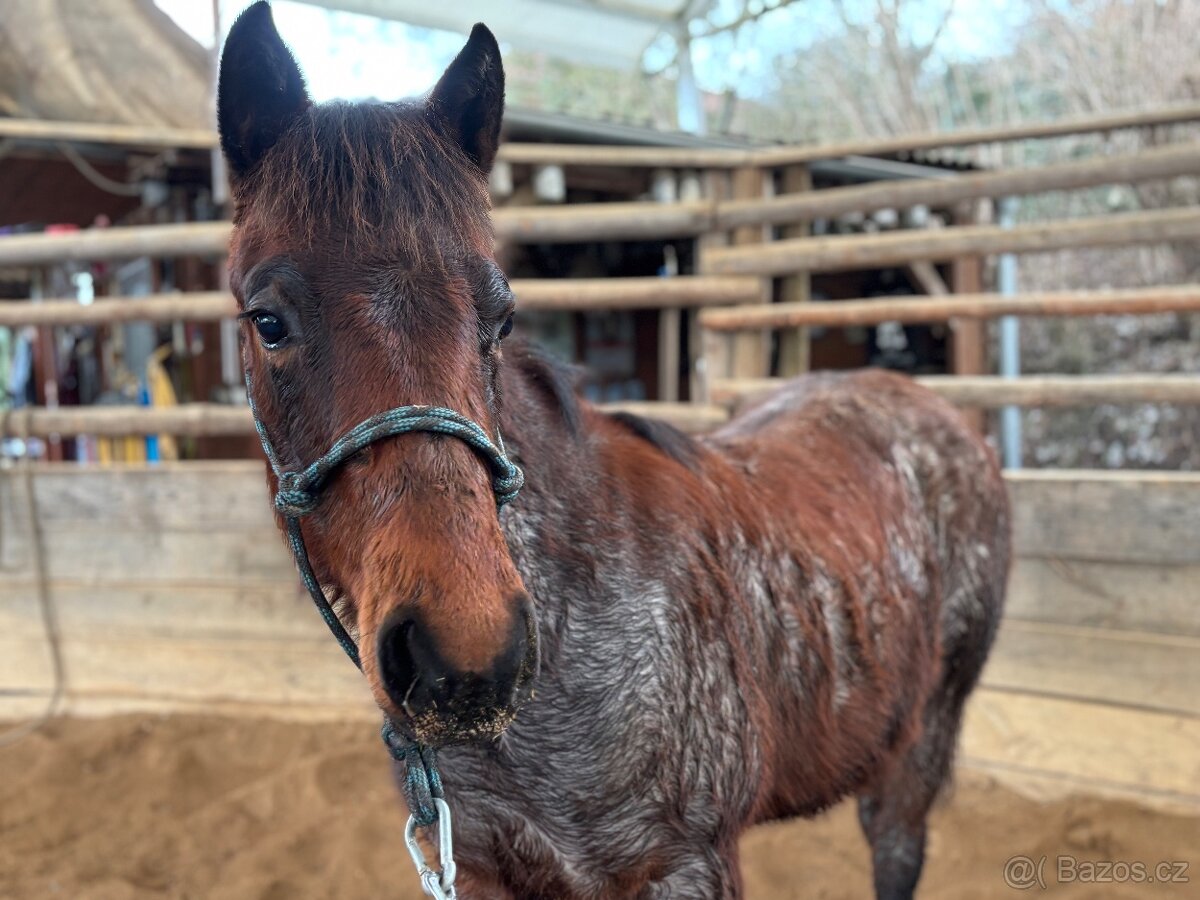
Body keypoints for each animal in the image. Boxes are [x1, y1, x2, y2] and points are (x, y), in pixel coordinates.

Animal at [218, 3, 1012, 897]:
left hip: (922, 742)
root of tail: (935, 414)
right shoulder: (485, 866)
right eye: (268, 321)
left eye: (500, 318)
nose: (466, 655)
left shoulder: (686, 866)